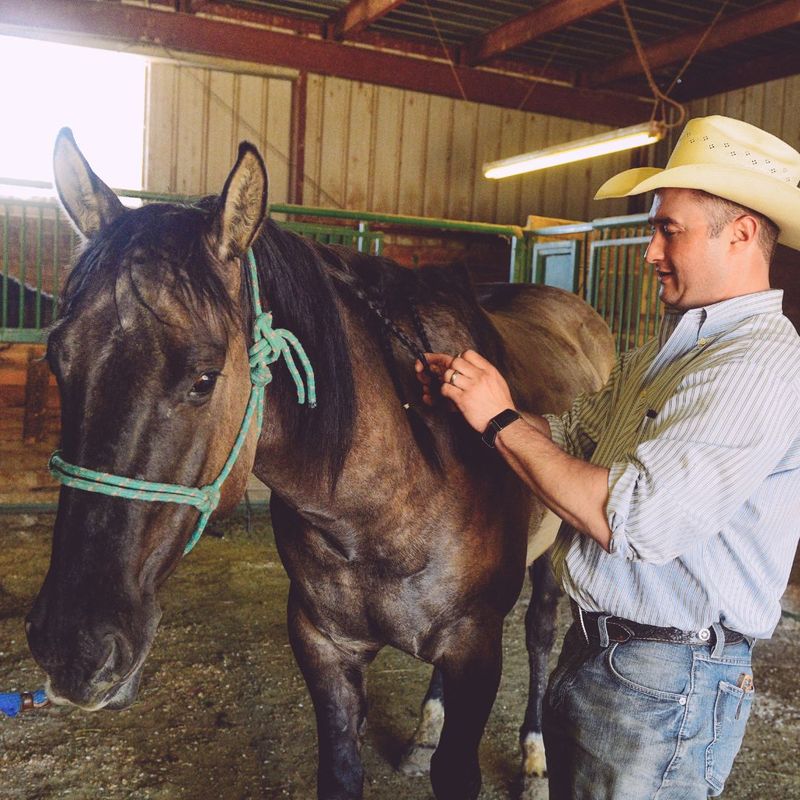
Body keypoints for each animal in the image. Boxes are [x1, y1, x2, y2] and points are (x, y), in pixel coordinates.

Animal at [25, 131, 612, 800]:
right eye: (57, 362)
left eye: (204, 380)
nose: (70, 647)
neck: (383, 497)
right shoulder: (325, 647)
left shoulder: (477, 649)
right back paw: (423, 734)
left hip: (555, 556)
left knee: (540, 638)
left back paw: (536, 760)